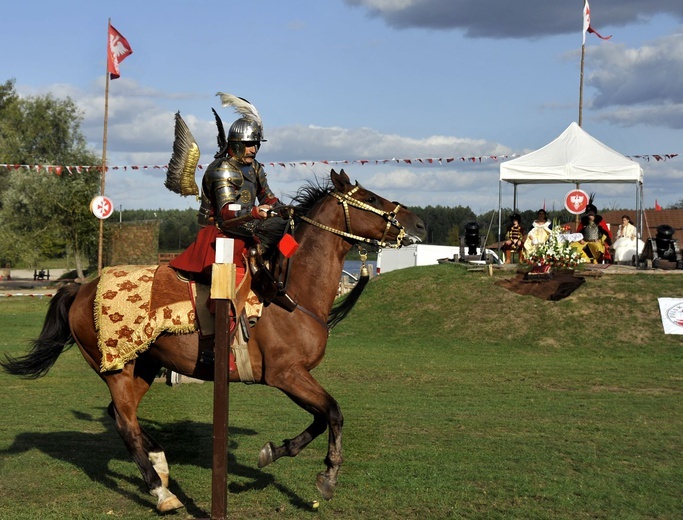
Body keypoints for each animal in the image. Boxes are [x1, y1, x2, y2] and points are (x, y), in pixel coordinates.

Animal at [1, 170, 428, 512]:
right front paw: (327, 477)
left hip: (144, 366)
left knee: (123, 417)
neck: (291, 292)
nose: (420, 223)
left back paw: (160, 463)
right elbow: (334, 413)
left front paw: (274, 452)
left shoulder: (294, 377)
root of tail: (82, 288)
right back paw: (161, 492)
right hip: (118, 368)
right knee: (124, 422)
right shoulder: (286, 374)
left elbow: (322, 418)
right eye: (371, 199)